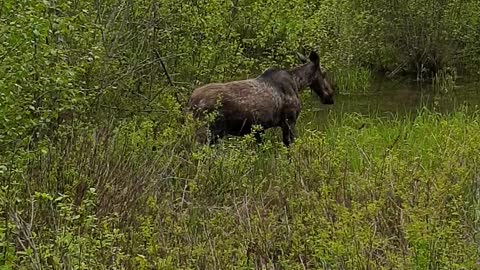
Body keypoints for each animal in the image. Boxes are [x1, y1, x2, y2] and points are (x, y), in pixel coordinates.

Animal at [188, 51, 334, 147]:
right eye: (324, 73)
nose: (330, 96)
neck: (297, 84)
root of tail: (191, 102)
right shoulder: (289, 121)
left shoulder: (259, 129)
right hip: (205, 131)